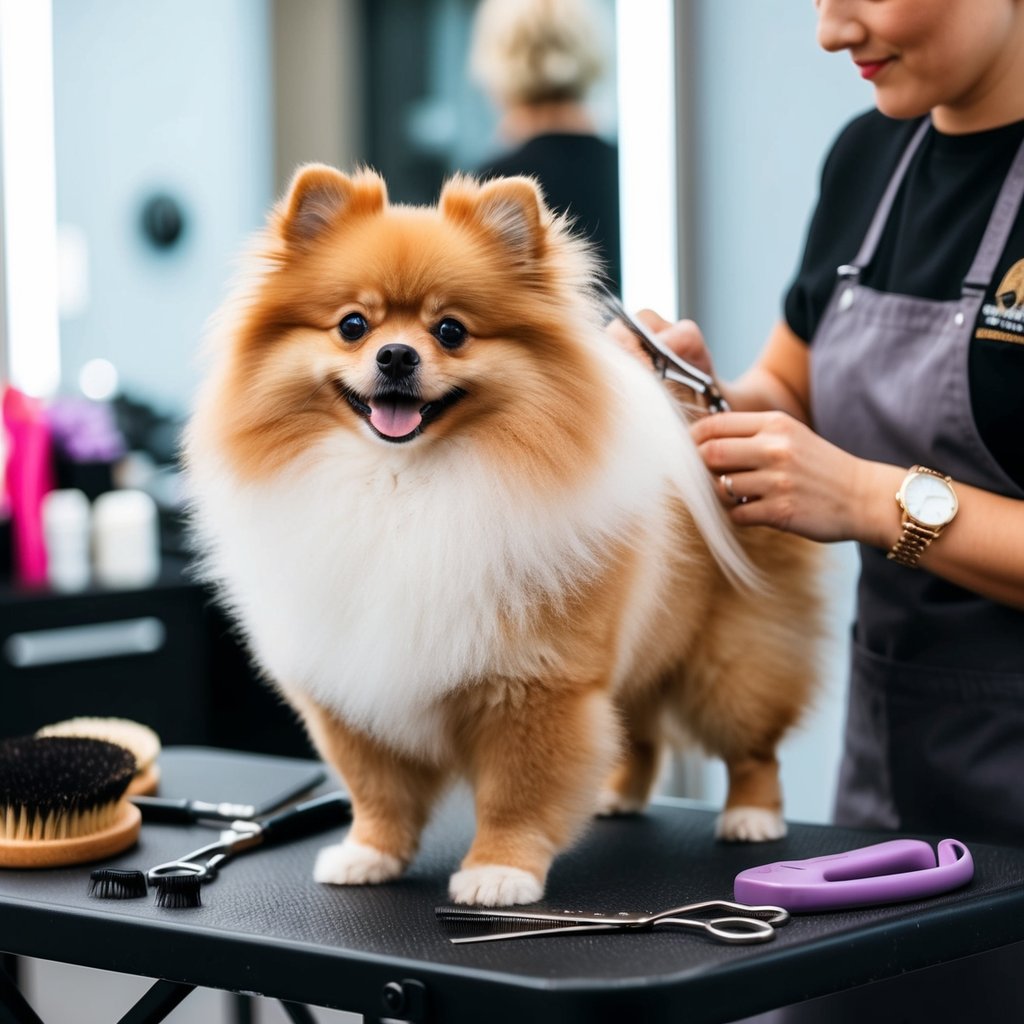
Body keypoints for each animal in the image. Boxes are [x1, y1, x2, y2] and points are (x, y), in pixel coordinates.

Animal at [186, 165, 823, 905]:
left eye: (451, 330)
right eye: (352, 325)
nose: (396, 355)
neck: (402, 487)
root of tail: (713, 411)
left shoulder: (534, 683)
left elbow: (517, 790)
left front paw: (499, 871)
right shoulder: (349, 680)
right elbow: (375, 788)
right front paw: (369, 854)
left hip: (730, 662)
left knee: (751, 745)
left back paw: (752, 817)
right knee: (637, 735)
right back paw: (617, 796)